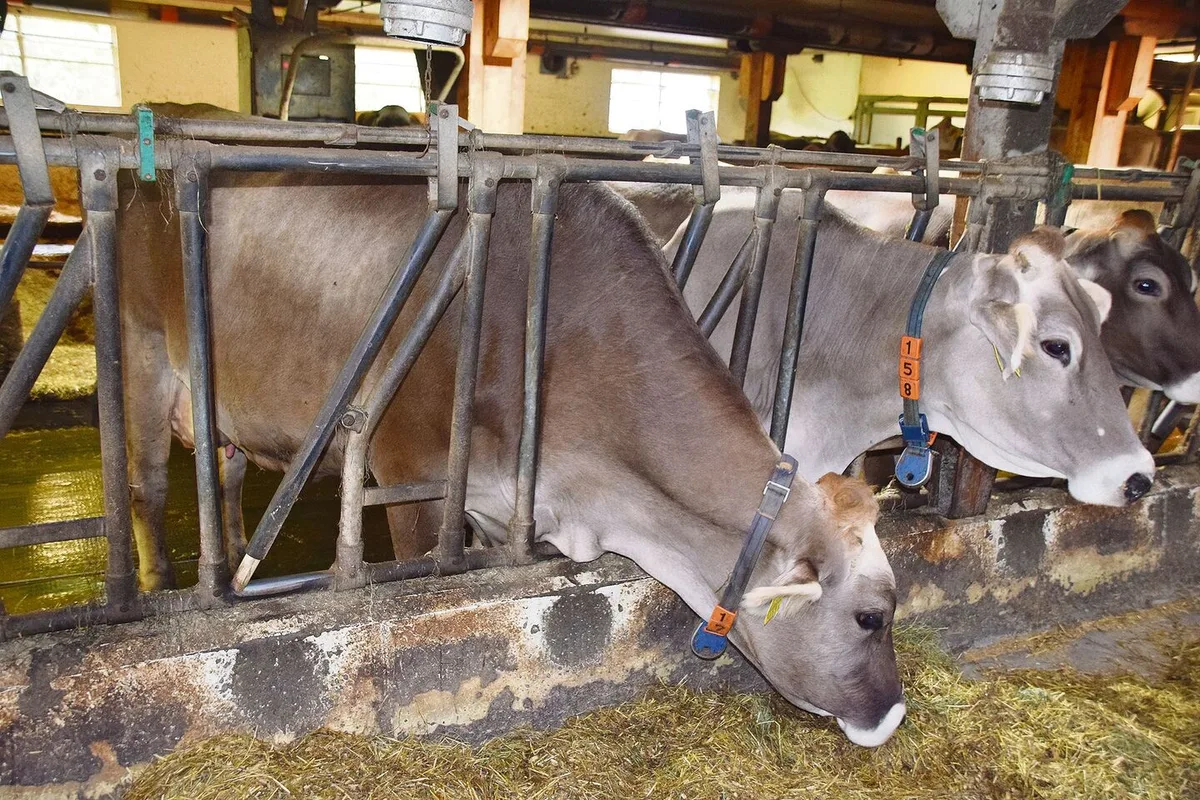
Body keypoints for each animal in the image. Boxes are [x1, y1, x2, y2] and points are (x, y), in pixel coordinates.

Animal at [115, 173, 907, 747]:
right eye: (871, 617)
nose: (896, 713)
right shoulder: (408, 470)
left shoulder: (508, 506)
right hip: (143, 350)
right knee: (146, 489)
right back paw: (158, 586)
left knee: (222, 479)